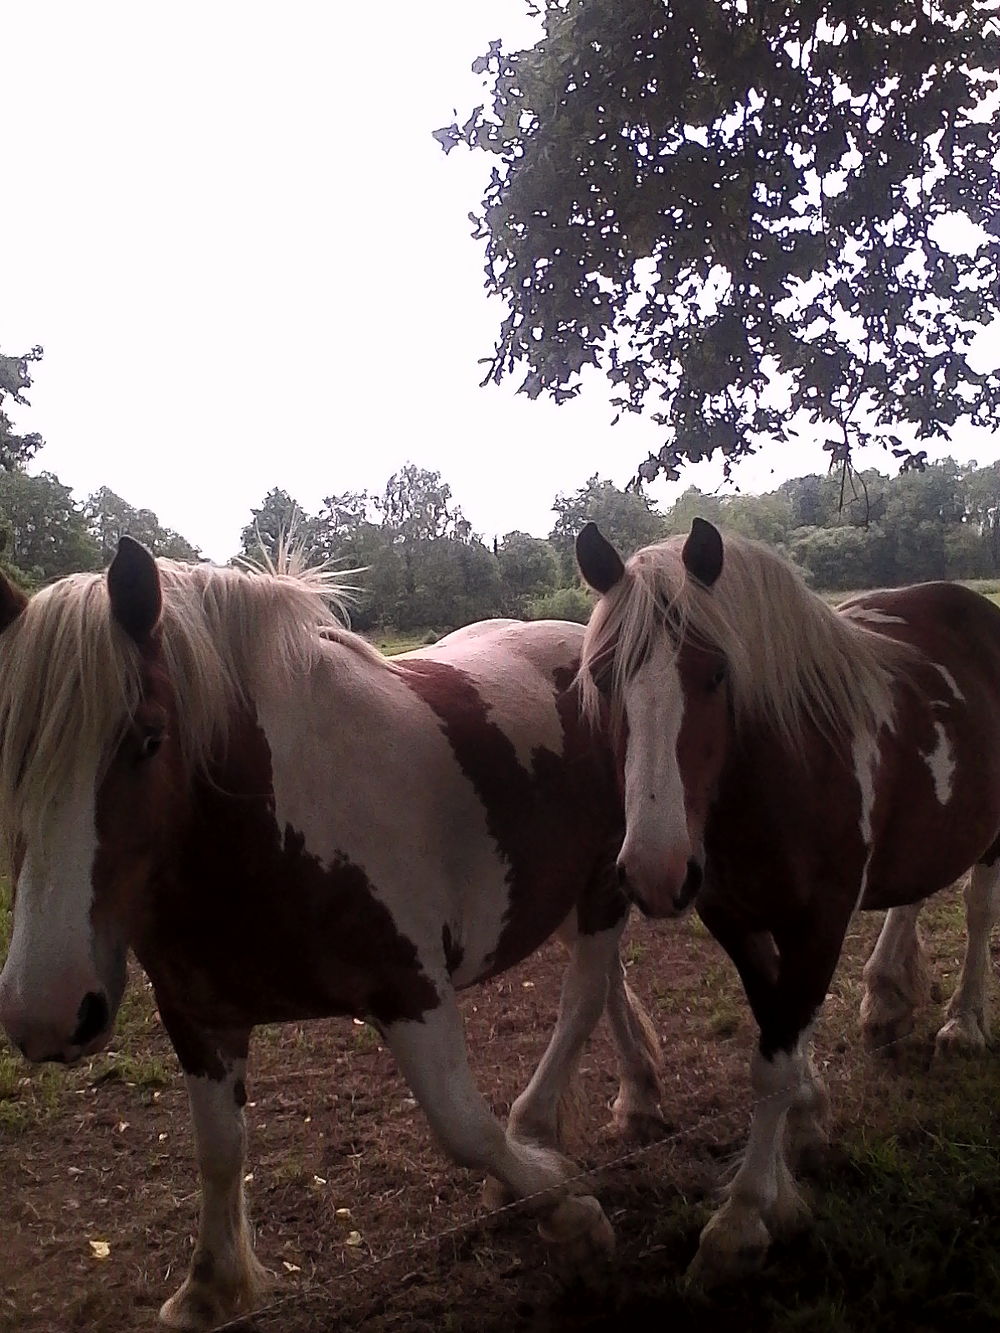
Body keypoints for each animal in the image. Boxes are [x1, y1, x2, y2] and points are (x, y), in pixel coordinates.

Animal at [0, 535, 666, 1327]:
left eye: (149, 739)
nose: (47, 1012)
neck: (271, 823)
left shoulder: (412, 993)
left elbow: (465, 1128)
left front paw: (570, 1215)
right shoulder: (197, 1019)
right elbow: (218, 1149)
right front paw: (208, 1286)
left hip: (600, 887)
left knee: (583, 1000)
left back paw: (539, 1127)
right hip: (575, 897)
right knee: (610, 986)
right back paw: (635, 1096)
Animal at [576, 517, 1000, 1279]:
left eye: (717, 673)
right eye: (602, 676)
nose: (656, 868)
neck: (782, 775)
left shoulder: (820, 922)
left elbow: (772, 1056)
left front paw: (745, 1216)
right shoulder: (735, 920)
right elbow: (779, 1025)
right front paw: (803, 1130)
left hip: (992, 834)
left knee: (980, 912)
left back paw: (964, 1022)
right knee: (914, 895)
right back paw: (887, 997)